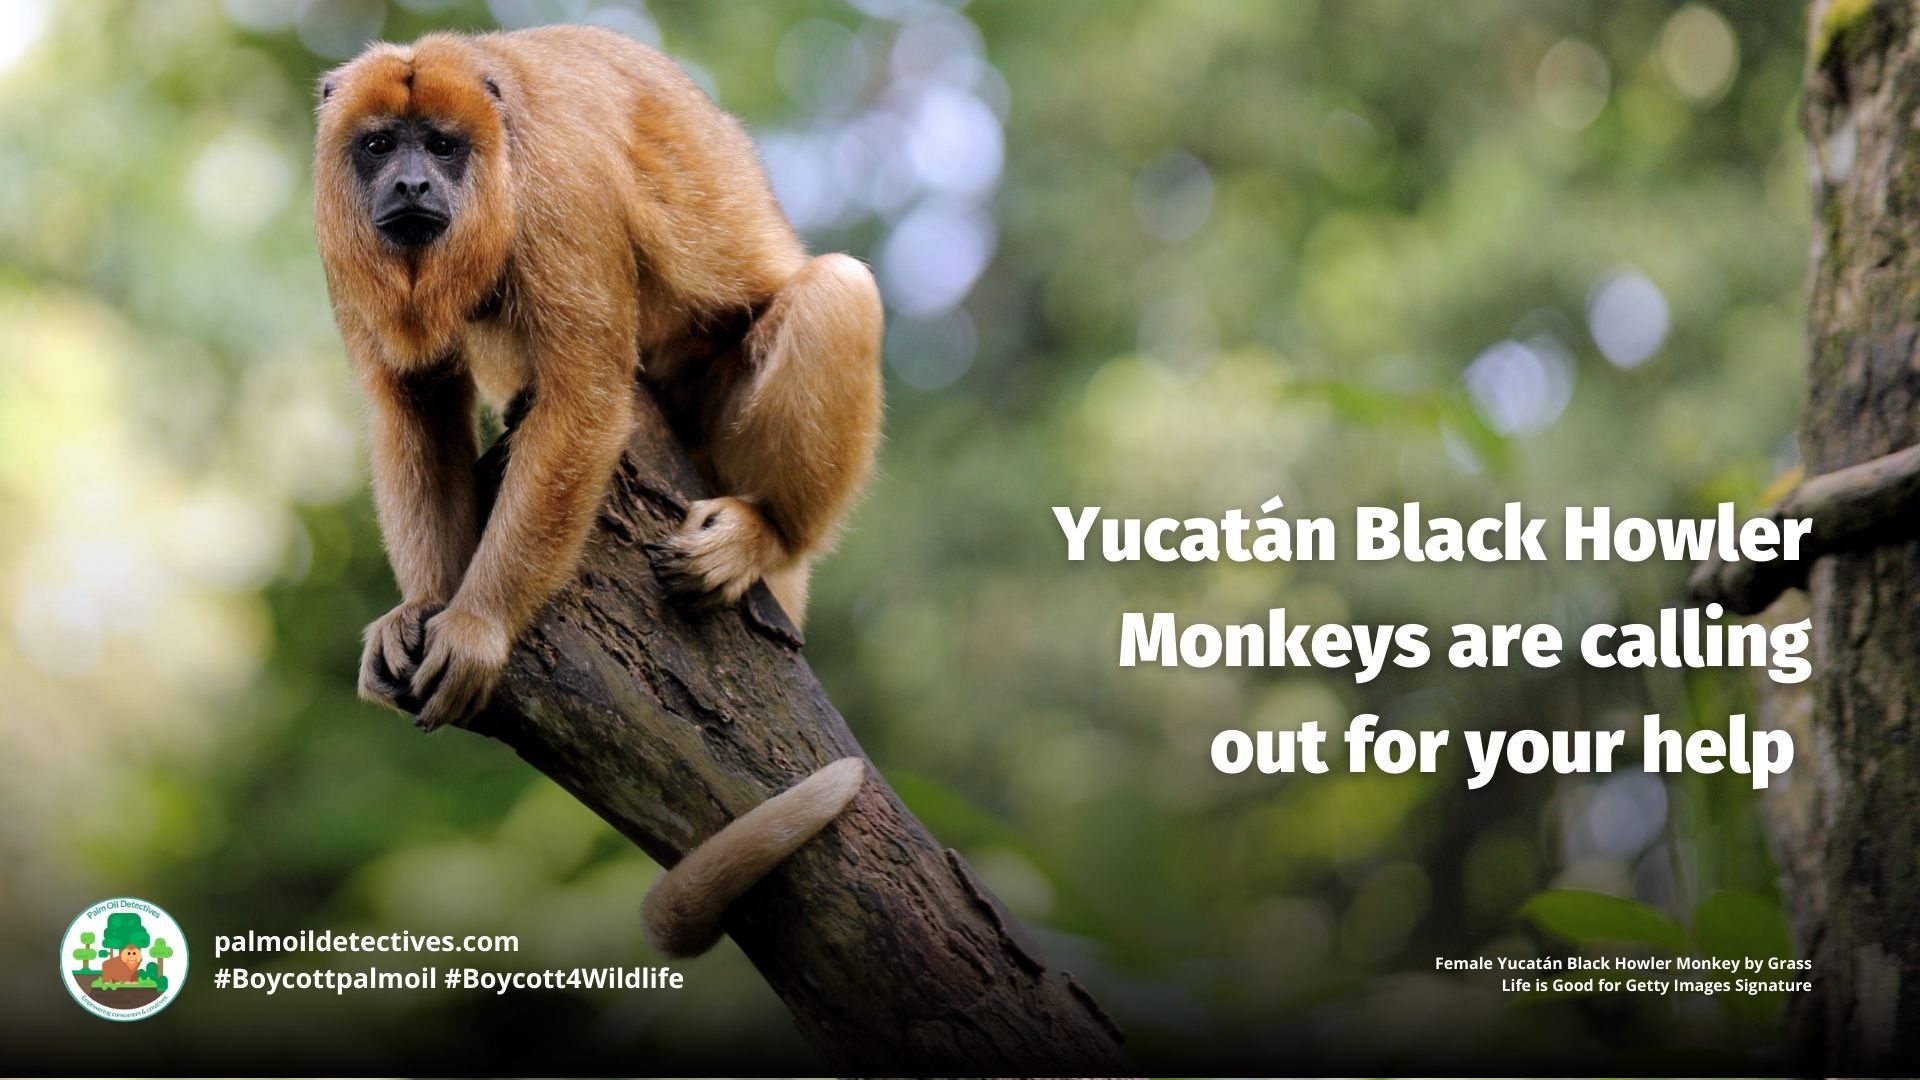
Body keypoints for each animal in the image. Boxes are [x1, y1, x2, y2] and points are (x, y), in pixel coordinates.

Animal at [313, 27, 882, 956]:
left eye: (442, 145)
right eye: (377, 145)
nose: (411, 183)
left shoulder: (560, 190)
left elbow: (584, 399)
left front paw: (478, 627)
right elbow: (412, 400)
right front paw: (422, 605)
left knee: (840, 290)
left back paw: (764, 532)